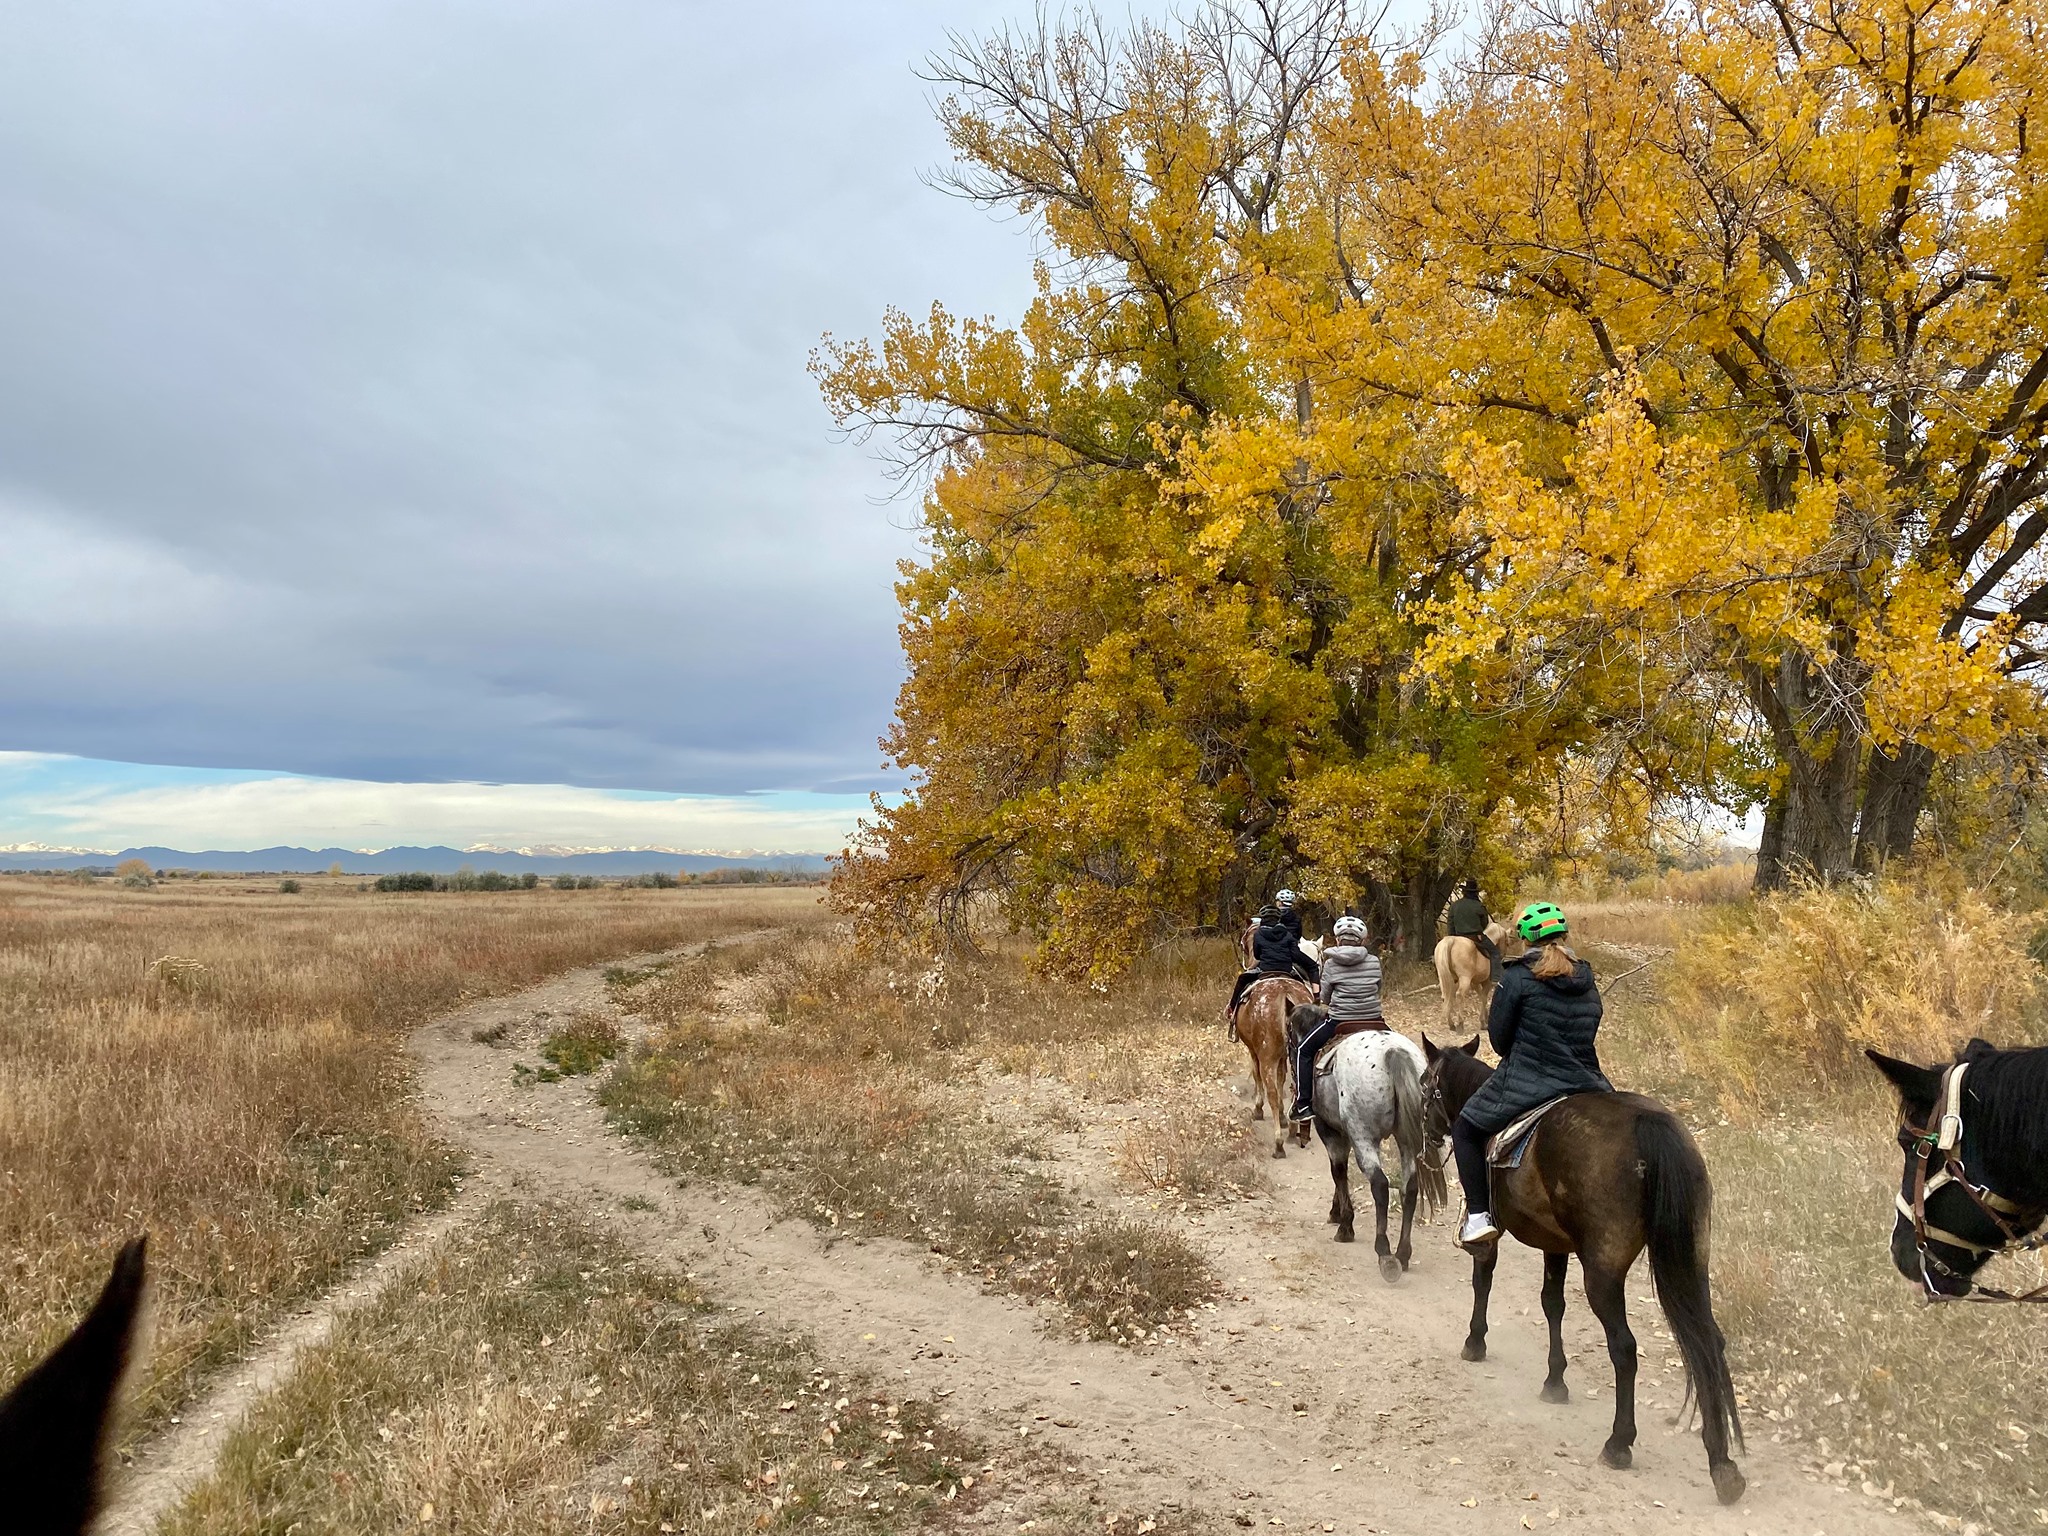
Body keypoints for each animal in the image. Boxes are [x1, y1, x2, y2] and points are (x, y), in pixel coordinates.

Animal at [1228, 978, 1310, 1163]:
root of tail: (1285, 992)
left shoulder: (1255, 1052)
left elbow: (1258, 1076)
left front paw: (1258, 1109)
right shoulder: (1283, 1057)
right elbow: (1281, 1079)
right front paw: (1283, 1115)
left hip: (1266, 1058)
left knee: (1271, 1092)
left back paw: (1278, 1144)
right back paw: (1293, 1129)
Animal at [1425, 1036, 1744, 1507]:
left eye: (1426, 1084)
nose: (1429, 1133)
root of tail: (1648, 1125)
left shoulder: (1493, 1234)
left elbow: (1484, 1281)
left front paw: (1474, 1342)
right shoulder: (1555, 1244)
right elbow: (1552, 1304)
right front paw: (1555, 1381)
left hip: (1604, 1273)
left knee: (1624, 1349)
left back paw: (1619, 1443)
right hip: (1692, 1259)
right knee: (1709, 1342)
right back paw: (1722, 1463)